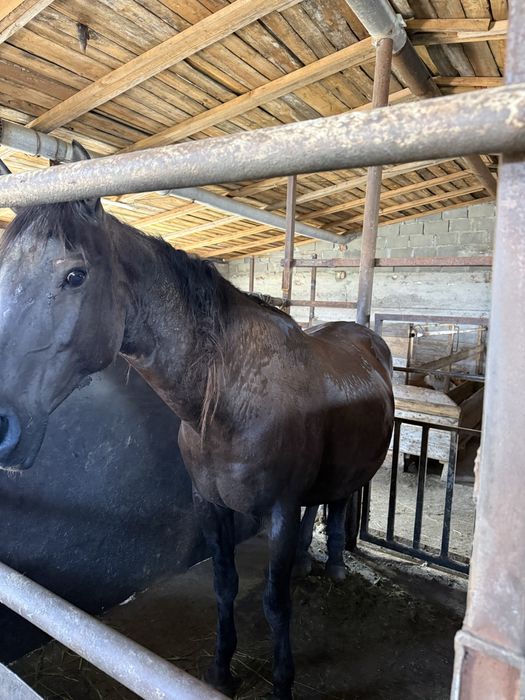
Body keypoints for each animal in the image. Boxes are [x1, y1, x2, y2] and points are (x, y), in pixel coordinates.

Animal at [0, 145, 394, 699]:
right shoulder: (209, 504)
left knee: (341, 501)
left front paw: (282, 681)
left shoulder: (277, 510)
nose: (1, 427)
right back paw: (312, 561)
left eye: (75, 275)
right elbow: (224, 586)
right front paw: (221, 671)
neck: (228, 404)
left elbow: (275, 601)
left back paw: (336, 564)